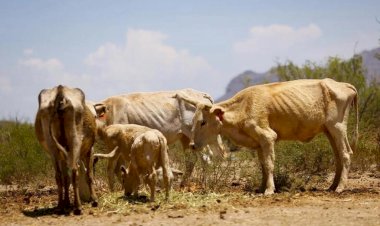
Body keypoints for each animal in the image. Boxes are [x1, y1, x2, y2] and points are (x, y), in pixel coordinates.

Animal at [34, 85, 98, 215]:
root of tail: (60, 92)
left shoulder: (63, 156)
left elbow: (65, 178)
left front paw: (67, 203)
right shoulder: (90, 151)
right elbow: (89, 175)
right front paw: (94, 200)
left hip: (52, 146)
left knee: (59, 175)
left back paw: (60, 206)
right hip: (75, 140)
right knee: (74, 171)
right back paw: (78, 207)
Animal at [93, 88, 227, 189]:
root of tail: (202, 94)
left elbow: (118, 168)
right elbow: (118, 168)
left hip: (197, 137)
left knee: (205, 158)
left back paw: (205, 185)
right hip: (185, 138)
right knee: (191, 160)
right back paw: (183, 185)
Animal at [181, 78, 360, 194]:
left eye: (203, 122)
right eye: (194, 121)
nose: (192, 145)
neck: (243, 108)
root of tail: (344, 84)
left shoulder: (267, 137)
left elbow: (268, 164)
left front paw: (269, 190)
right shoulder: (259, 143)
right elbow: (262, 165)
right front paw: (261, 188)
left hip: (337, 127)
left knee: (346, 154)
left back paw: (340, 187)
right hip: (329, 131)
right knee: (338, 157)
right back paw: (332, 186)